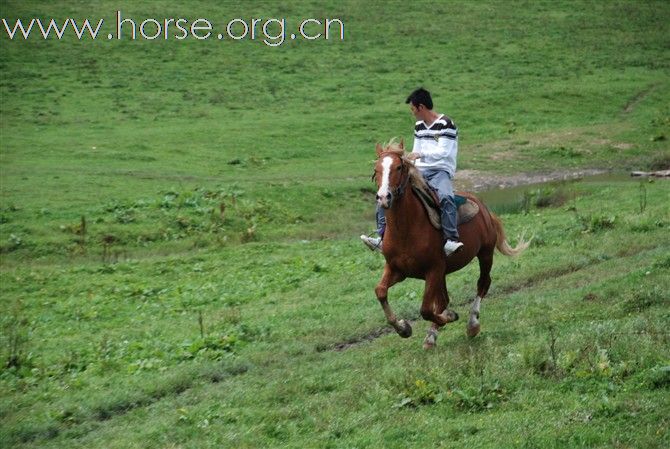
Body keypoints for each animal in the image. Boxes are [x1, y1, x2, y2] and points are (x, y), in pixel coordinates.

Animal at [372, 138, 532, 348]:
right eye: (376, 169)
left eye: (399, 167)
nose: (384, 197)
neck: (406, 230)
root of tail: (484, 209)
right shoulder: (397, 269)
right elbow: (380, 291)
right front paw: (403, 328)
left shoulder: (433, 269)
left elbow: (426, 309)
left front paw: (448, 317)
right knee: (444, 299)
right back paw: (432, 335)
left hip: (485, 254)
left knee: (483, 284)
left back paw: (471, 325)